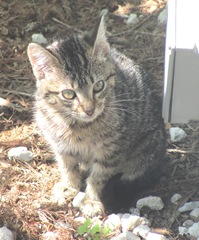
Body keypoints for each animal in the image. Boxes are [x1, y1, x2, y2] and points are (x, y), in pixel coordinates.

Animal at [27, 16, 166, 216]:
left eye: (99, 86)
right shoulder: (60, 144)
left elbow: (99, 177)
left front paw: (92, 200)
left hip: (147, 148)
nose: (89, 109)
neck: (78, 126)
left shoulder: (112, 150)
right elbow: (67, 165)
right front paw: (70, 186)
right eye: (68, 94)